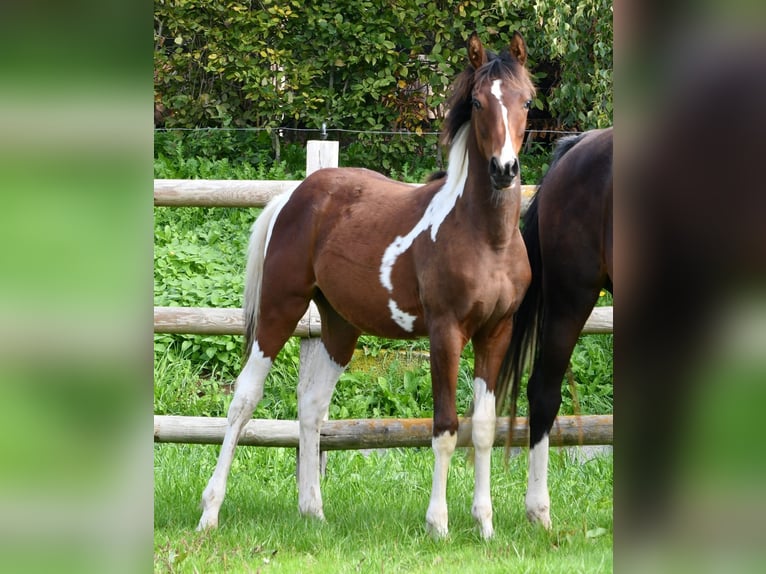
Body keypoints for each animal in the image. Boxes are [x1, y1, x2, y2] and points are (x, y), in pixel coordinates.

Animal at [196, 31, 536, 540]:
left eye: (526, 101)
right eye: (477, 102)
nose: (504, 169)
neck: (485, 238)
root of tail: (294, 196)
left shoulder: (497, 332)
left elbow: (483, 428)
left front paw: (486, 526)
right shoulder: (446, 334)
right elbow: (445, 426)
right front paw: (438, 524)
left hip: (340, 327)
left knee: (312, 406)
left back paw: (314, 513)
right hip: (280, 309)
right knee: (243, 400)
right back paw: (210, 513)